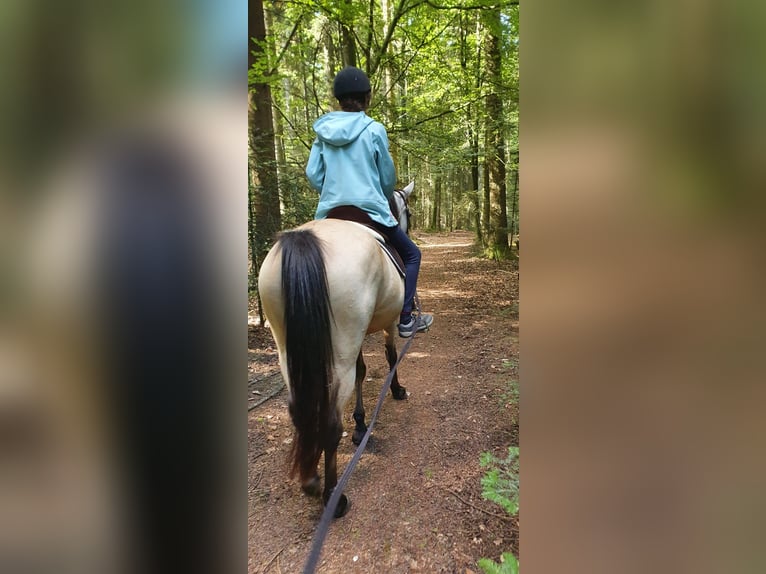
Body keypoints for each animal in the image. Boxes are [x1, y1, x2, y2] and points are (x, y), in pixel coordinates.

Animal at [257, 191, 413, 518]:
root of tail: (307, 241)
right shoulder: (388, 321)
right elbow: (390, 356)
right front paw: (396, 390)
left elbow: (363, 370)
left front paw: (361, 425)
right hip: (341, 351)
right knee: (330, 422)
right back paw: (332, 495)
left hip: (290, 351)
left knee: (299, 410)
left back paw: (311, 478)